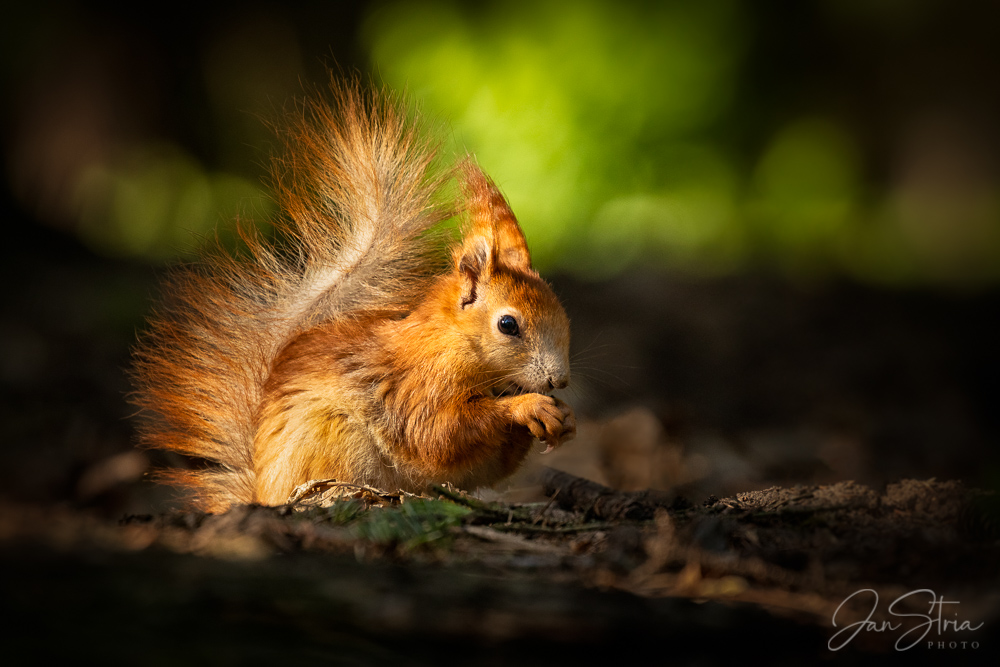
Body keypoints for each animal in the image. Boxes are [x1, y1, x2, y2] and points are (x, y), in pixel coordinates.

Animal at [129, 78, 576, 512]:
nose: (559, 380)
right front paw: (527, 407)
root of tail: (261, 492)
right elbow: (438, 434)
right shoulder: (416, 388)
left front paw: (564, 419)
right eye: (508, 324)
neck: (450, 344)